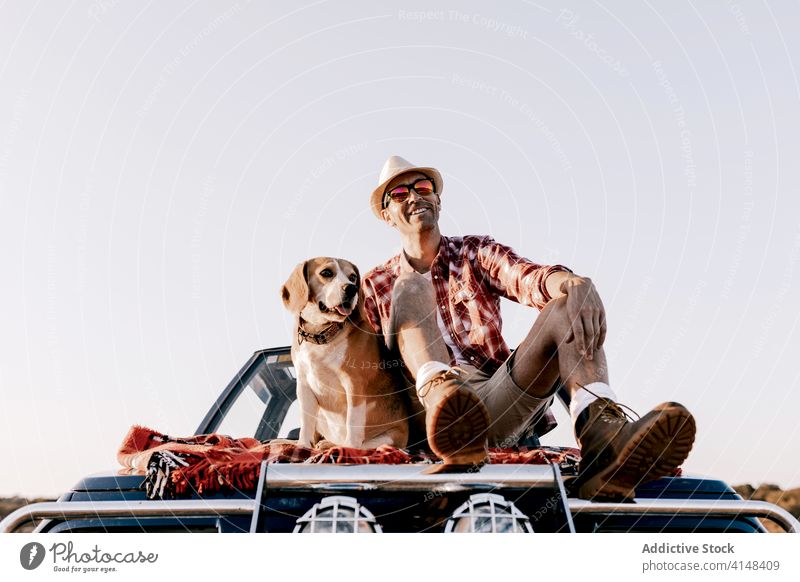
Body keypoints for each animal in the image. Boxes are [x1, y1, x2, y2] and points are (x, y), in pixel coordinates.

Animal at [280, 256, 406, 452]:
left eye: (353, 277)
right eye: (326, 273)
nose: (352, 288)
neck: (322, 334)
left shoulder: (354, 383)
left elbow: (353, 422)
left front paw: (349, 448)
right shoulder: (303, 383)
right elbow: (306, 421)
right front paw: (303, 445)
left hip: (389, 437)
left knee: (363, 444)